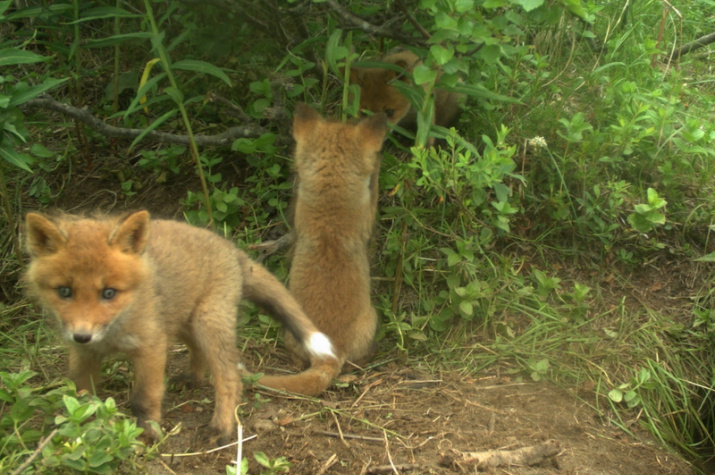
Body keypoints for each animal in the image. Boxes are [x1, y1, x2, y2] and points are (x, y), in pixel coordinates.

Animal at [23, 210, 337, 445]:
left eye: (109, 293)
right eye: (64, 292)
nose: (82, 335)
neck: (114, 331)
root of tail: (231, 248)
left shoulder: (151, 346)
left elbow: (144, 398)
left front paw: (147, 434)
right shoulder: (84, 354)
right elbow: (79, 397)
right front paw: (78, 430)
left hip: (207, 322)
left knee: (229, 377)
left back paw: (221, 428)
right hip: (186, 321)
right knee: (198, 353)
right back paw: (191, 378)